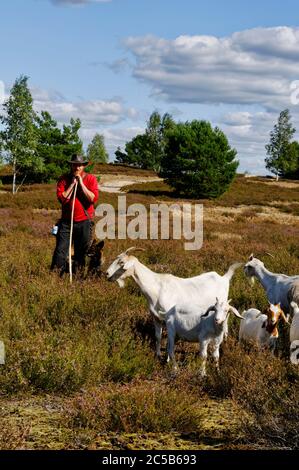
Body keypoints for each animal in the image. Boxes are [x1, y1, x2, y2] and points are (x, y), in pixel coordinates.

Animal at [106, 248, 243, 358]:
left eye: (121, 263)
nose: (106, 273)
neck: (157, 288)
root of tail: (224, 278)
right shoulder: (156, 317)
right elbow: (158, 336)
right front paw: (158, 355)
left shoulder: (169, 317)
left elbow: (170, 341)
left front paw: (167, 358)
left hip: (223, 306)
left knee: (226, 323)